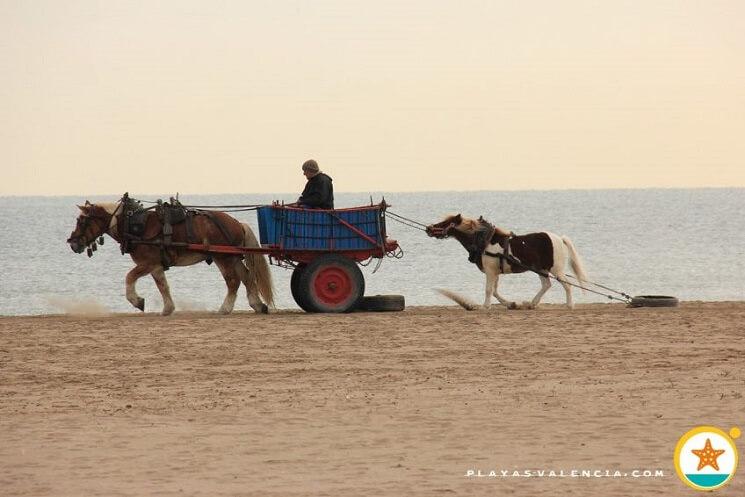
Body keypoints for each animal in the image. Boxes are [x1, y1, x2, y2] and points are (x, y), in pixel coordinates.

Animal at [67, 201, 274, 314]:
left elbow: (129, 277)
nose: (72, 242)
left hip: (222, 257)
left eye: (82, 220)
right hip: (232, 257)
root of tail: (237, 223)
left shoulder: (147, 263)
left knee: (233, 281)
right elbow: (163, 286)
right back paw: (257, 305)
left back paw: (225, 308)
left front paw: (137, 301)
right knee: (247, 277)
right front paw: (168, 308)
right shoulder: (157, 265)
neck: (134, 225)